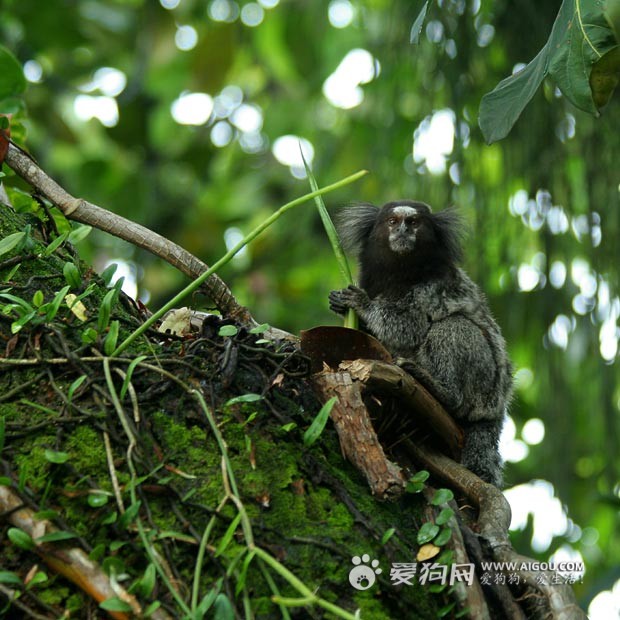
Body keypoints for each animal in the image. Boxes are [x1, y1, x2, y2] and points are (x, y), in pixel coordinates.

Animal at [330, 201, 512, 486]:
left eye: (414, 223)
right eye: (392, 221)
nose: (403, 231)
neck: (399, 272)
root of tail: (496, 410)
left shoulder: (433, 288)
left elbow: (410, 327)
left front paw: (363, 304)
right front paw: (339, 305)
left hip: (485, 387)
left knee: (453, 326)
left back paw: (441, 390)